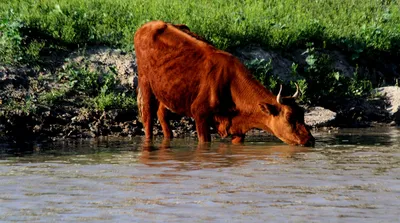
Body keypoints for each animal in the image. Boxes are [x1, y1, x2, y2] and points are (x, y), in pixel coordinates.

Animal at [134, 20, 316, 146]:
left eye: (303, 115)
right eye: (289, 118)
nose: (310, 140)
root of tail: (149, 24)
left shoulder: (237, 127)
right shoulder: (200, 114)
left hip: (167, 89)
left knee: (162, 113)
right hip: (145, 81)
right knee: (148, 116)